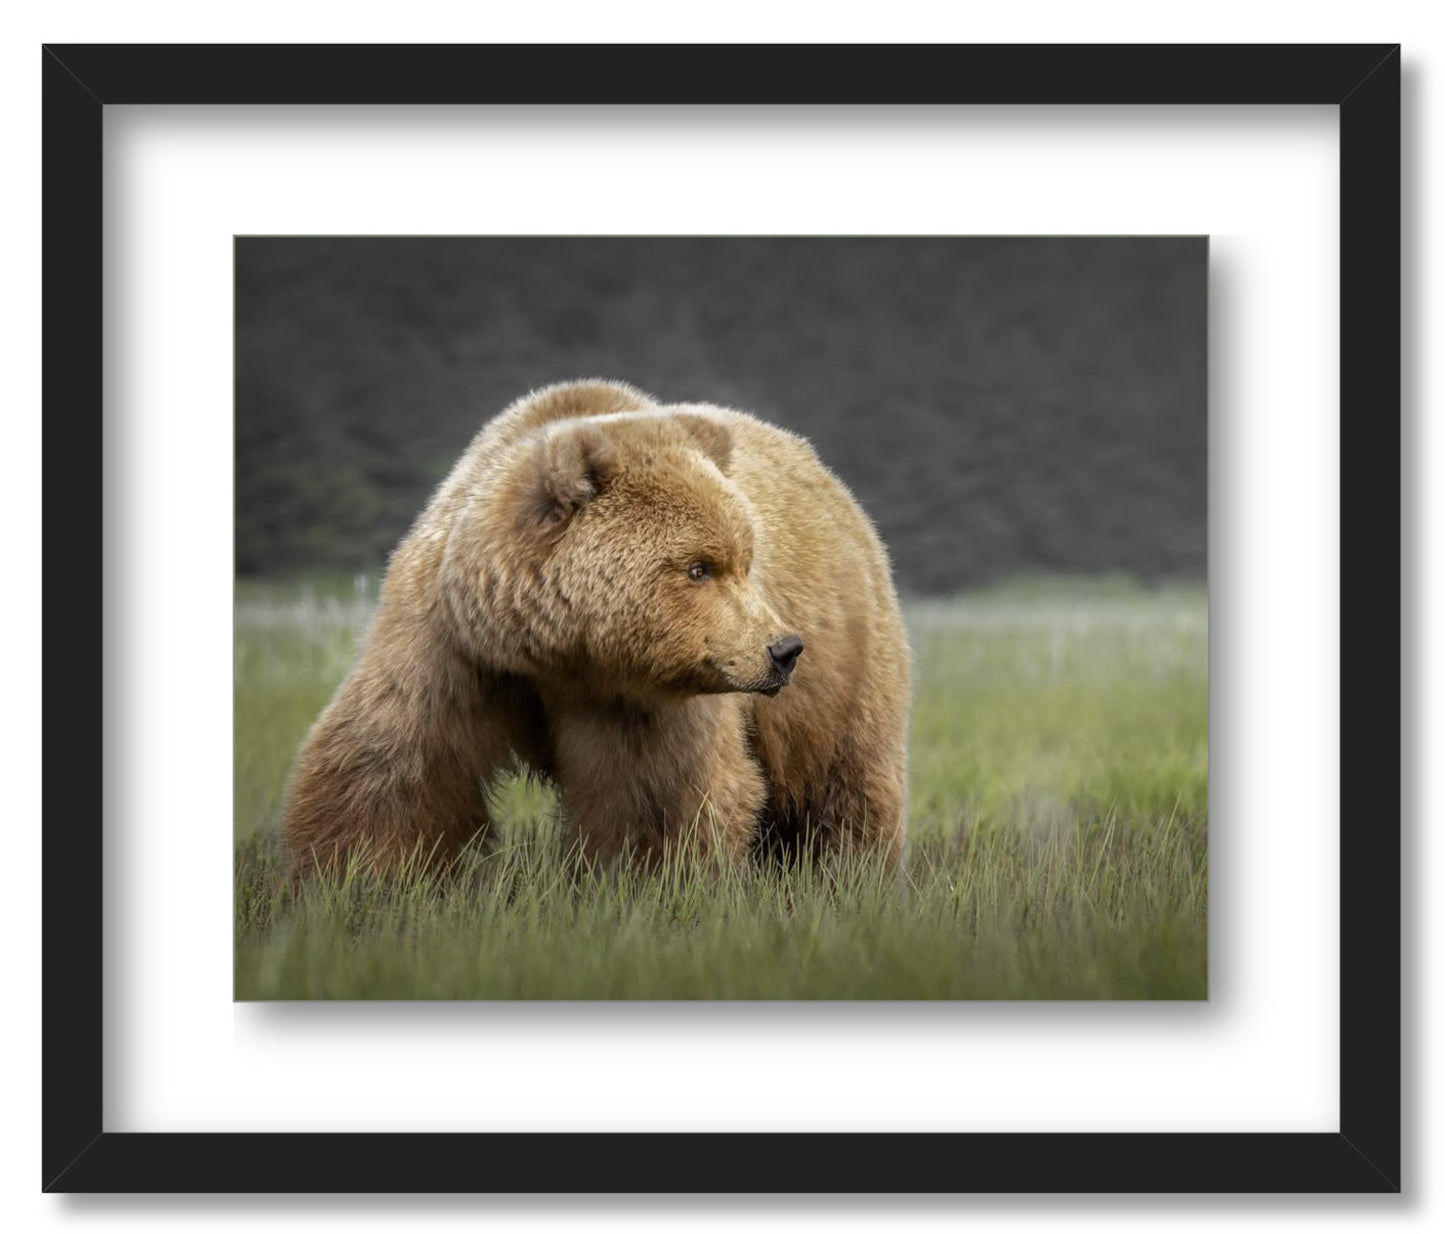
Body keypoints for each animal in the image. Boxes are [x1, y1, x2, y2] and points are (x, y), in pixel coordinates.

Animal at [280, 379, 911, 879]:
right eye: (698, 567)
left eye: (744, 562)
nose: (782, 648)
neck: (553, 651)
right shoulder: (451, 644)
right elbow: (391, 766)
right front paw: (353, 880)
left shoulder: (639, 698)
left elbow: (657, 795)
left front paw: (647, 883)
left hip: (847, 665)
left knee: (846, 782)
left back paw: (849, 874)